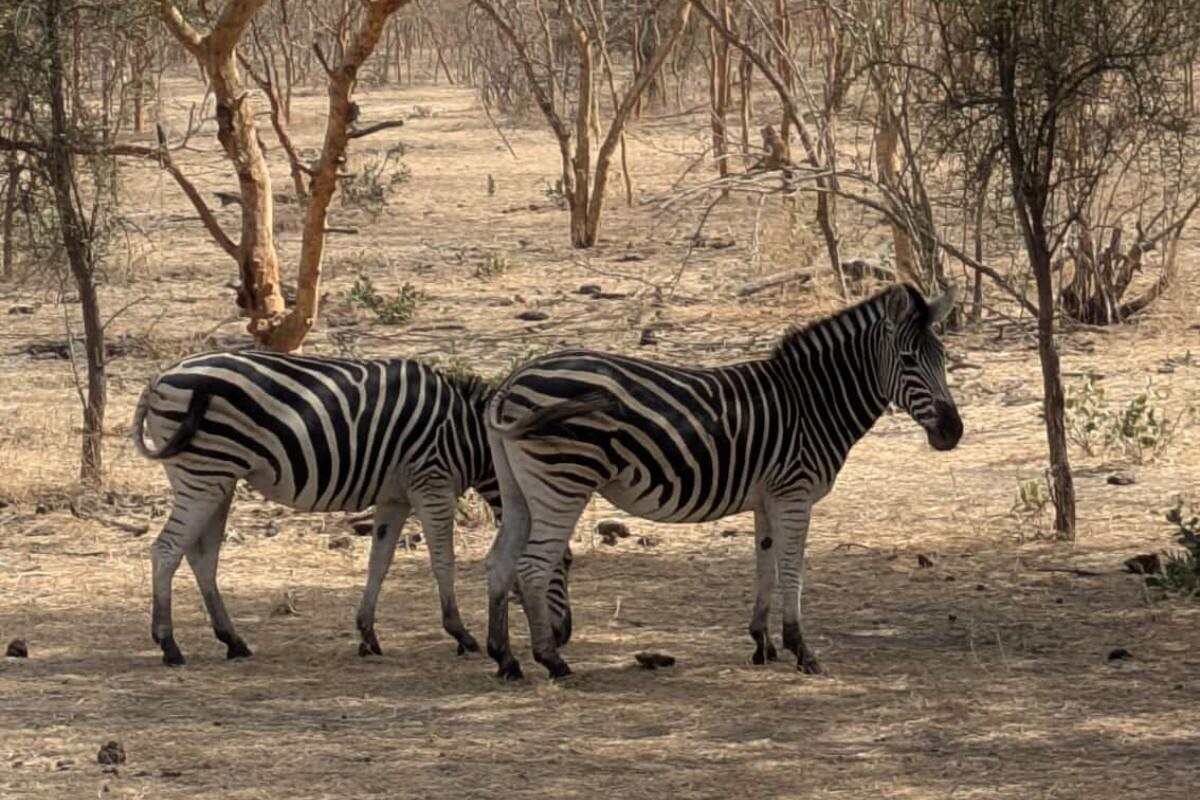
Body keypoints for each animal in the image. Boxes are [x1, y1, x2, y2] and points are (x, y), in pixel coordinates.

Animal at [131, 349, 572, 666]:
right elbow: (442, 559)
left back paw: (233, 641)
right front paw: (460, 633)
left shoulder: (395, 497)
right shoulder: (432, 481)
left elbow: (380, 562)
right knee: (166, 550)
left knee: (202, 556)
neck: (469, 435)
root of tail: (158, 378)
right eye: (564, 566)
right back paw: (169, 645)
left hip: (214, 478)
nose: (564, 635)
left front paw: (367, 635)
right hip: (204, 472)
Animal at [482, 285, 962, 680]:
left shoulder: (769, 497)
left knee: (499, 562)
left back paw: (505, 659)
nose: (952, 433)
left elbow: (765, 565)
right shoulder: (794, 492)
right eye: (908, 361)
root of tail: (512, 380)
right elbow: (792, 568)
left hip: (519, 489)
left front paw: (762, 644)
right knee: (533, 567)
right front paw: (801, 650)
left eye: (942, 359)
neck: (812, 403)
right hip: (564, 481)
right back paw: (551, 660)